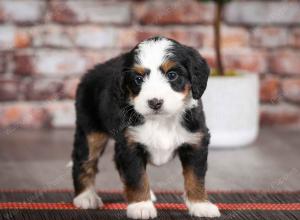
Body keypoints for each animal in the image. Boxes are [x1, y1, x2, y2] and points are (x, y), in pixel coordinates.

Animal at [71, 36, 219, 218]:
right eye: (138, 79)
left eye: (172, 75)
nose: (155, 102)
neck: (161, 121)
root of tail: (90, 72)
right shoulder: (130, 145)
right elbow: (137, 177)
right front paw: (141, 206)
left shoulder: (195, 141)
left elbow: (195, 177)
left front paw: (200, 205)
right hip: (90, 132)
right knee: (84, 161)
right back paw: (85, 197)